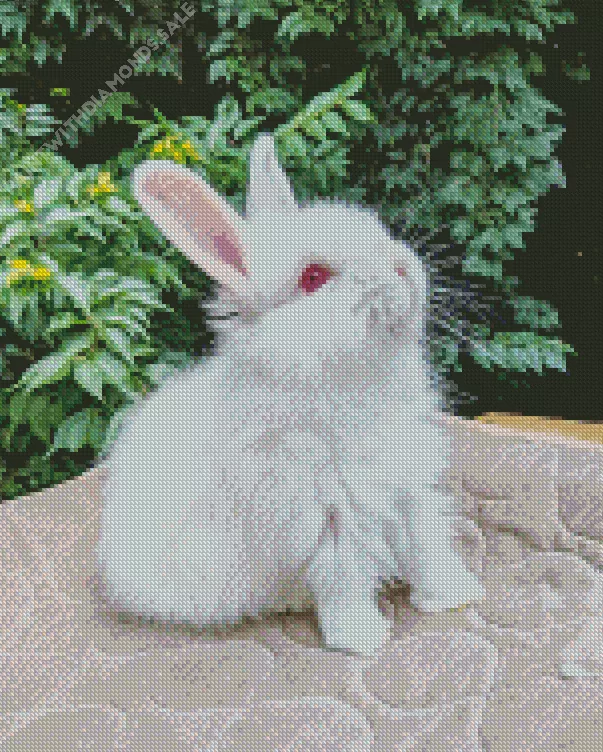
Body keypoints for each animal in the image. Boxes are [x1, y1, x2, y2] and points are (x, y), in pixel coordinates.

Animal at [95, 133, 484, 656]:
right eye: (313, 278)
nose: (403, 268)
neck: (348, 383)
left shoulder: (410, 489)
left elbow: (428, 547)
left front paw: (455, 597)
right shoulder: (324, 520)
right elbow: (343, 584)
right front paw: (363, 641)